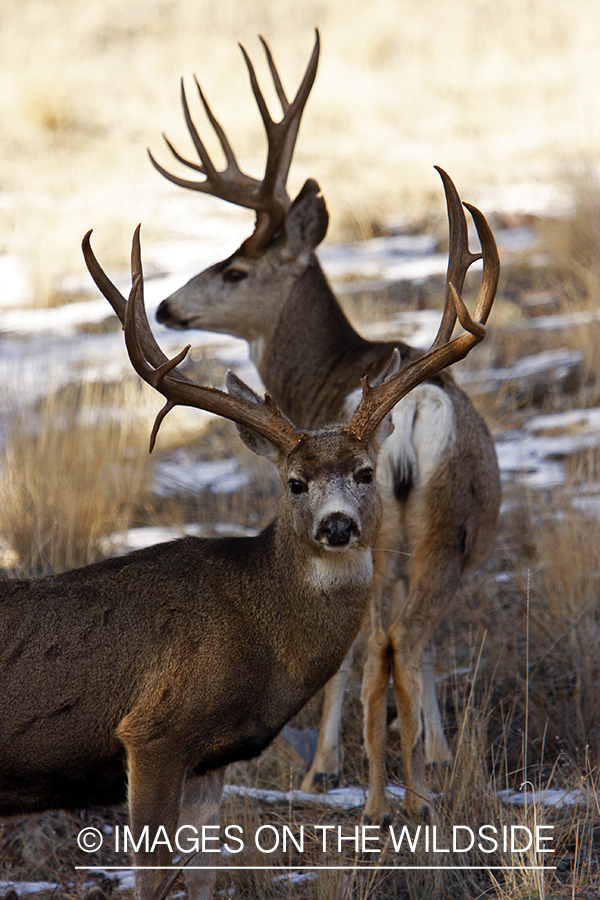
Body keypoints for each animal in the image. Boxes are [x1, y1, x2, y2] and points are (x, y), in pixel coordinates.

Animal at [0, 217, 495, 900]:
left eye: (364, 473)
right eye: (294, 482)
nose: (337, 525)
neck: (258, 632)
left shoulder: (213, 759)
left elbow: (204, 878)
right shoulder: (152, 734)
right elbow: (153, 880)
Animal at [149, 33, 502, 820]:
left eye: (236, 269)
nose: (163, 307)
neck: (321, 376)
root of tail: (421, 410)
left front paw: (324, 767)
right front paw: (436, 751)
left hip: (385, 532)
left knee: (382, 645)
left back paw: (373, 794)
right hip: (448, 525)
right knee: (415, 637)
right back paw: (421, 780)